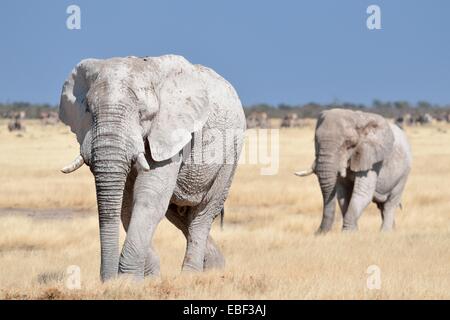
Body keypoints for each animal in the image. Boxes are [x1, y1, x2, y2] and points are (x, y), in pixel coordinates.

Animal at [59, 54, 246, 280]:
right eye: (87, 110)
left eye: (143, 114)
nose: (107, 280)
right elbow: (127, 206)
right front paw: (147, 279)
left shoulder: (170, 133)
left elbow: (149, 196)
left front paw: (129, 281)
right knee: (181, 216)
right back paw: (215, 268)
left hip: (231, 155)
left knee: (202, 215)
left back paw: (190, 277)